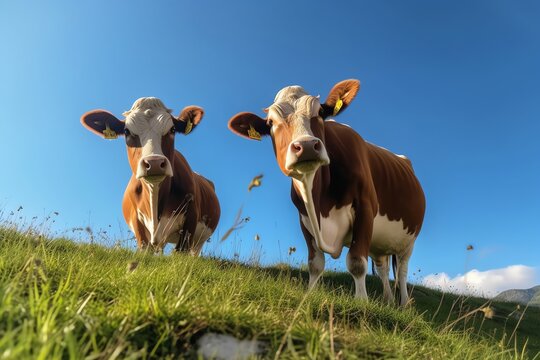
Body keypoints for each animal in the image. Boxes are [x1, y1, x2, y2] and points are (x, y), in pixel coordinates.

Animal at [80, 95, 219, 253]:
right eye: (126, 131)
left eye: (172, 129)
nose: (154, 163)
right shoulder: (137, 222)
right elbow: (144, 248)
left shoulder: (191, 217)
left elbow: (180, 251)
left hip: (198, 241)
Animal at [226, 80, 424, 306]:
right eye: (270, 122)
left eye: (320, 112)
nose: (306, 146)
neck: (319, 202)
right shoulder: (304, 219)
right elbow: (315, 263)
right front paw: (310, 294)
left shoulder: (365, 208)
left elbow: (356, 261)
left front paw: (361, 302)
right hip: (380, 243)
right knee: (382, 268)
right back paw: (388, 300)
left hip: (409, 240)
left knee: (402, 270)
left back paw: (404, 304)